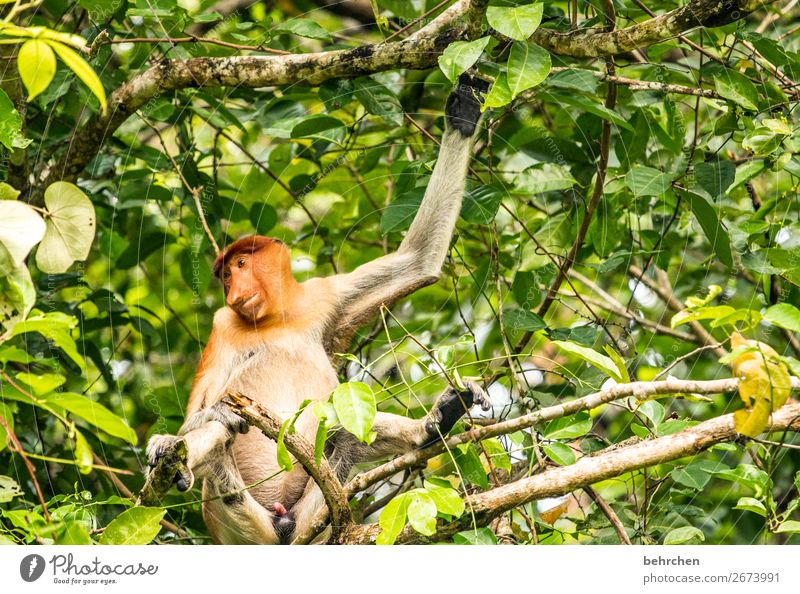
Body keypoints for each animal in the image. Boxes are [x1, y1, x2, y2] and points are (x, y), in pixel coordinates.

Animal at [147, 76, 490, 544]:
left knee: (343, 429)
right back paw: (174, 461)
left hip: (316, 508)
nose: (234, 290)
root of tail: (281, 525)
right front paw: (179, 434)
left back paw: (435, 423)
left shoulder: (324, 296)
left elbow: (419, 261)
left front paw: (463, 115)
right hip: (227, 516)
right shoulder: (223, 325)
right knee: (221, 436)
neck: (274, 318)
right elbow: (197, 418)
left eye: (240, 265)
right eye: (225, 276)